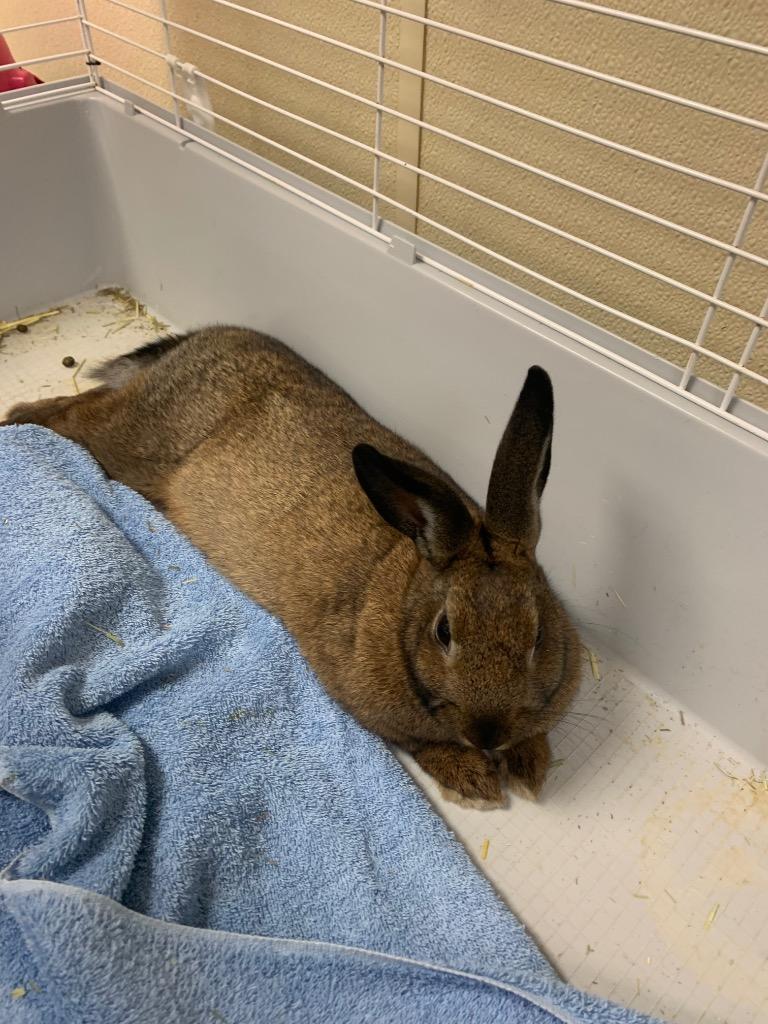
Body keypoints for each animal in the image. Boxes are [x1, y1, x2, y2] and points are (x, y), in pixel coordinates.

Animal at [3, 326, 582, 805]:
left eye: (537, 636)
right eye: (444, 632)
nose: (488, 734)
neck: (406, 596)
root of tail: (201, 338)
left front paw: (529, 767)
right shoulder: (368, 702)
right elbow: (418, 744)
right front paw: (477, 783)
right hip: (130, 440)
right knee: (78, 412)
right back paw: (17, 416)